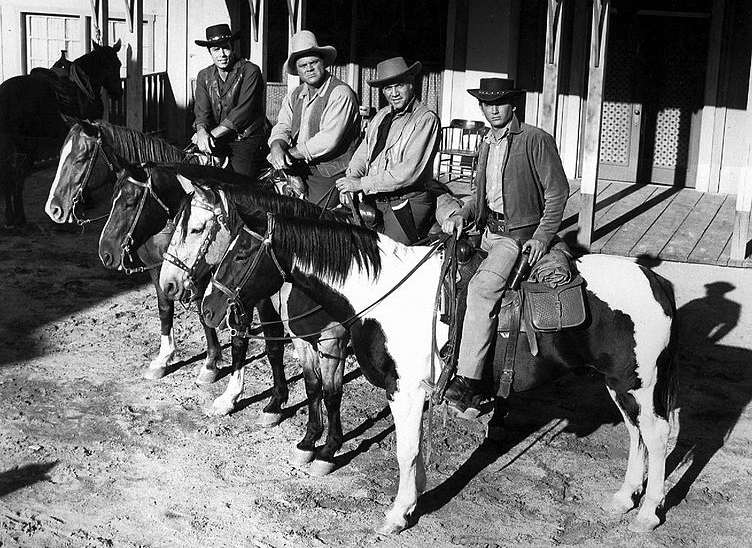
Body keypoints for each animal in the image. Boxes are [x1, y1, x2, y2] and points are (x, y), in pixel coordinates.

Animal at [0, 40, 122, 228]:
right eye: (116, 65)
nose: (118, 93)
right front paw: (85, 198)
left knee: (8, 177)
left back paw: (10, 217)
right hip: (24, 146)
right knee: (16, 178)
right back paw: (19, 217)